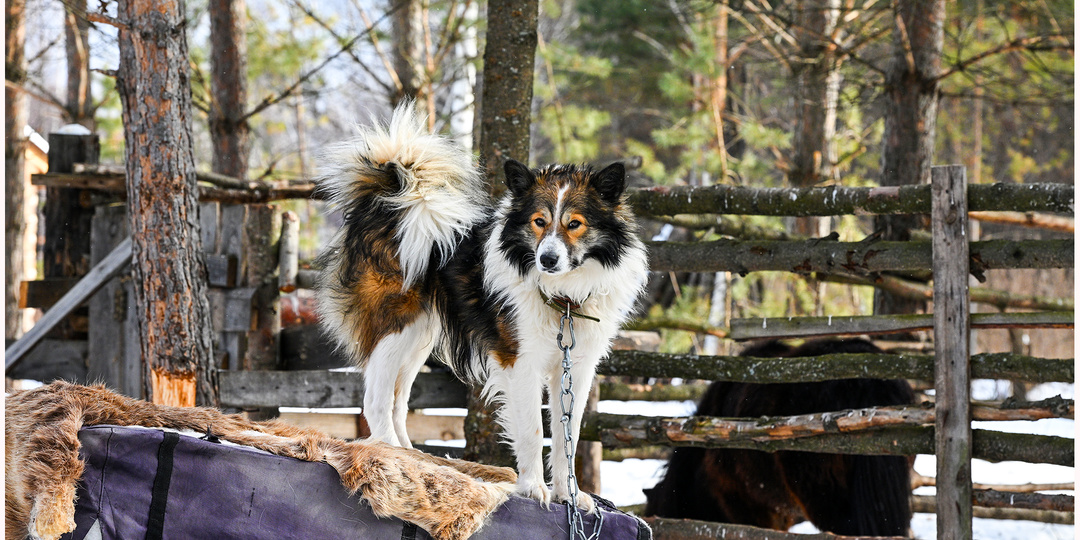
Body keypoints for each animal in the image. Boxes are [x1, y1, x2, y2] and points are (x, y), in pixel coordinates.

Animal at [315, 101, 643, 509]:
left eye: (575, 224)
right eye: (539, 222)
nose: (547, 259)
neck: (563, 296)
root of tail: (390, 201)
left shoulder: (577, 368)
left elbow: (568, 433)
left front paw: (569, 494)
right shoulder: (521, 363)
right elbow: (533, 430)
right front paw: (533, 488)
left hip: (418, 339)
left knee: (396, 401)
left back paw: (412, 455)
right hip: (395, 327)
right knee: (375, 400)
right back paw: (391, 453)